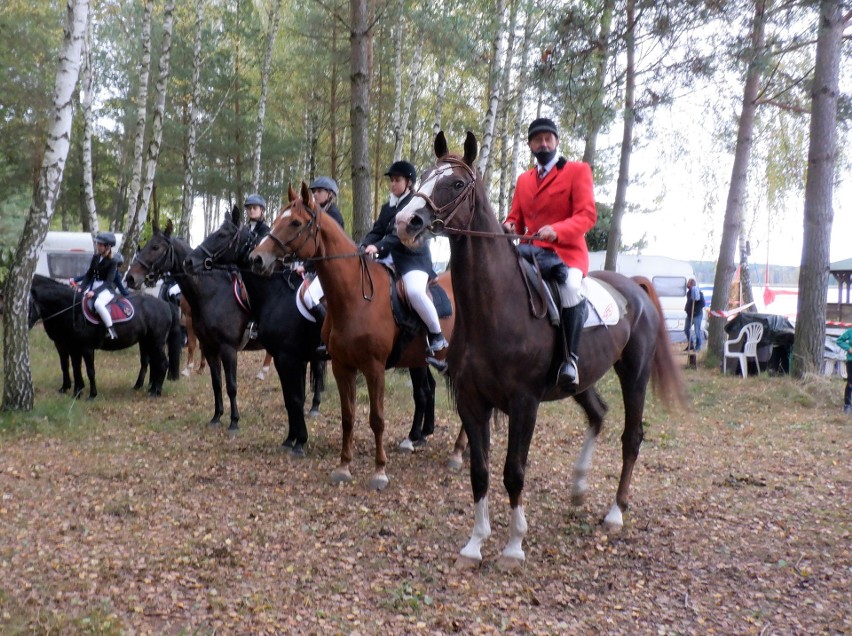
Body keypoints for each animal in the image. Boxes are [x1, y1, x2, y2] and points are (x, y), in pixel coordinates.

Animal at [29, 274, 181, 398]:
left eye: (28, 305)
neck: (73, 311)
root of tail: (165, 304)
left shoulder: (85, 347)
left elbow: (89, 370)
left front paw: (91, 394)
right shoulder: (70, 346)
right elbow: (72, 366)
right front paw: (75, 391)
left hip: (156, 341)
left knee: (162, 363)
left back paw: (156, 392)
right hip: (146, 341)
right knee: (151, 362)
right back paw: (145, 387)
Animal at [183, 206, 332, 454]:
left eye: (222, 234)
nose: (189, 261)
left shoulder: (280, 356)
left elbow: (291, 397)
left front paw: (298, 441)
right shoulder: (287, 359)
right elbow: (291, 398)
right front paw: (291, 439)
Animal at [250, 181, 466, 490]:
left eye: (295, 223)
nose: (257, 258)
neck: (353, 296)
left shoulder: (373, 368)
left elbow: (376, 418)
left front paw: (379, 471)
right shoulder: (342, 366)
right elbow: (348, 416)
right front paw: (343, 466)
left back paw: (456, 453)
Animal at [398, 132, 684, 568]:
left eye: (456, 184)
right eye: (426, 175)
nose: (405, 222)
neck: (497, 307)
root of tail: (633, 286)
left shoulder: (524, 402)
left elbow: (513, 471)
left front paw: (514, 546)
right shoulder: (472, 400)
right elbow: (480, 472)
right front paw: (475, 543)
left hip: (634, 374)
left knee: (631, 437)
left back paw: (615, 513)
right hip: (581, 380)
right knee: (598, 415)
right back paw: (578, 488)